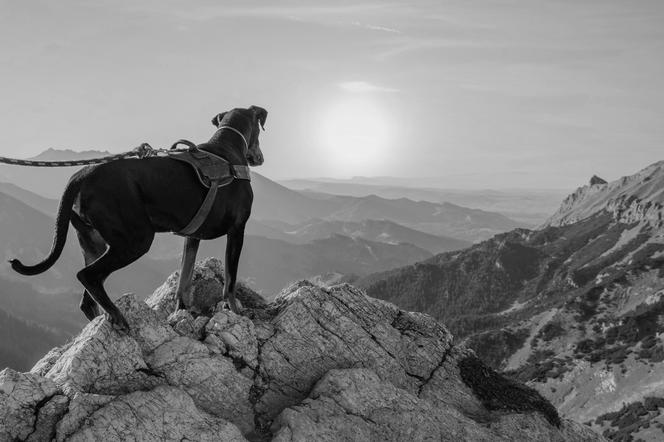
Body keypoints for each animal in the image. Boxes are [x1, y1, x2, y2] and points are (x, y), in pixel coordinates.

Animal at [9, 105, 266, 330]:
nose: (260, 158)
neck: (228, 150)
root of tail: (81, 174)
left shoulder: (192, 237)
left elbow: (184, 280)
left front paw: (181, 311)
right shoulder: (237, 229)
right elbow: (230, 281)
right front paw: (237, 312)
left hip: (94, 242)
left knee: (87, 298)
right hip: (136, 240)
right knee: (87, 276)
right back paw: (117, 316)